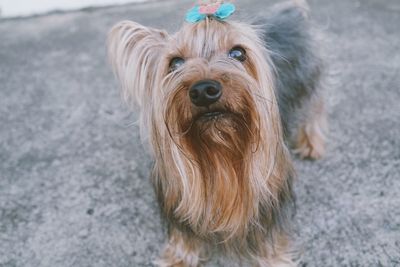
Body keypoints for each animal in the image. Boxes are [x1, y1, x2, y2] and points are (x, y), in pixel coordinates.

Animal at [108, 1, 324, 266]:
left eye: (238, 53)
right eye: (175, 63)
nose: (203, 90)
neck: (219, 147)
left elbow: (269, 237)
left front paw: (272, 258)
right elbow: (184, 233)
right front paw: (179, 257)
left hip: (310, 83)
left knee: (314, 111)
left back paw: (312, 145)